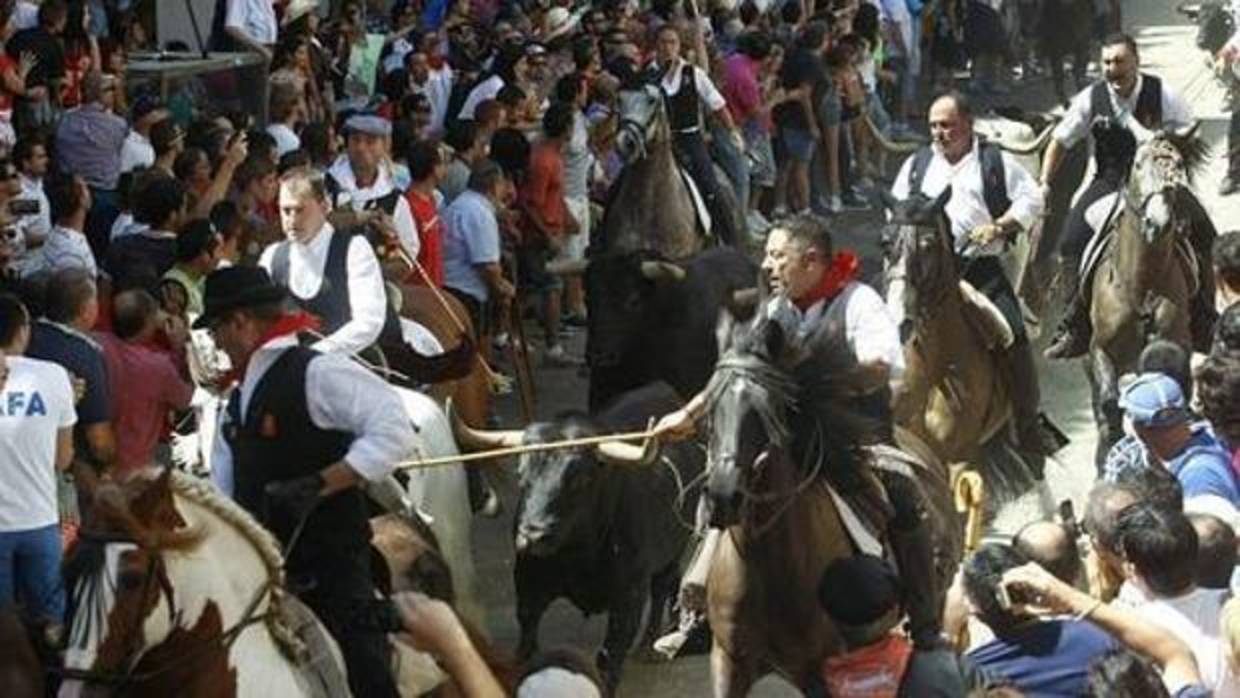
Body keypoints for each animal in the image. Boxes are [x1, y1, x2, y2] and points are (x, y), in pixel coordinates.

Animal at [456, 384, 709, 689]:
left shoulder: (628, 596)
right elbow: (526, 640)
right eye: (521, 474)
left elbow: (610, 657)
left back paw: (649, 645)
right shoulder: (527, 581)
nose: (532, 536)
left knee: (663, 586)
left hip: (674, 549)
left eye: (580, 479)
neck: (577, 554)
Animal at [699, 308, 957, 694]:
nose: (723, 495)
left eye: (765, 409)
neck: (770, 566)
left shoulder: (820, 667)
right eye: (710, 407)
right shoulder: (729, 659)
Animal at [1086, 128, 1210, 461]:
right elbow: (1108, 401)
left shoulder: (1173, 345)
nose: (1158, 223)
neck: (1141, 286)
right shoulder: (1100, 347)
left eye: (1177, 167)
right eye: (1139, 165)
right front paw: (1108, 449)